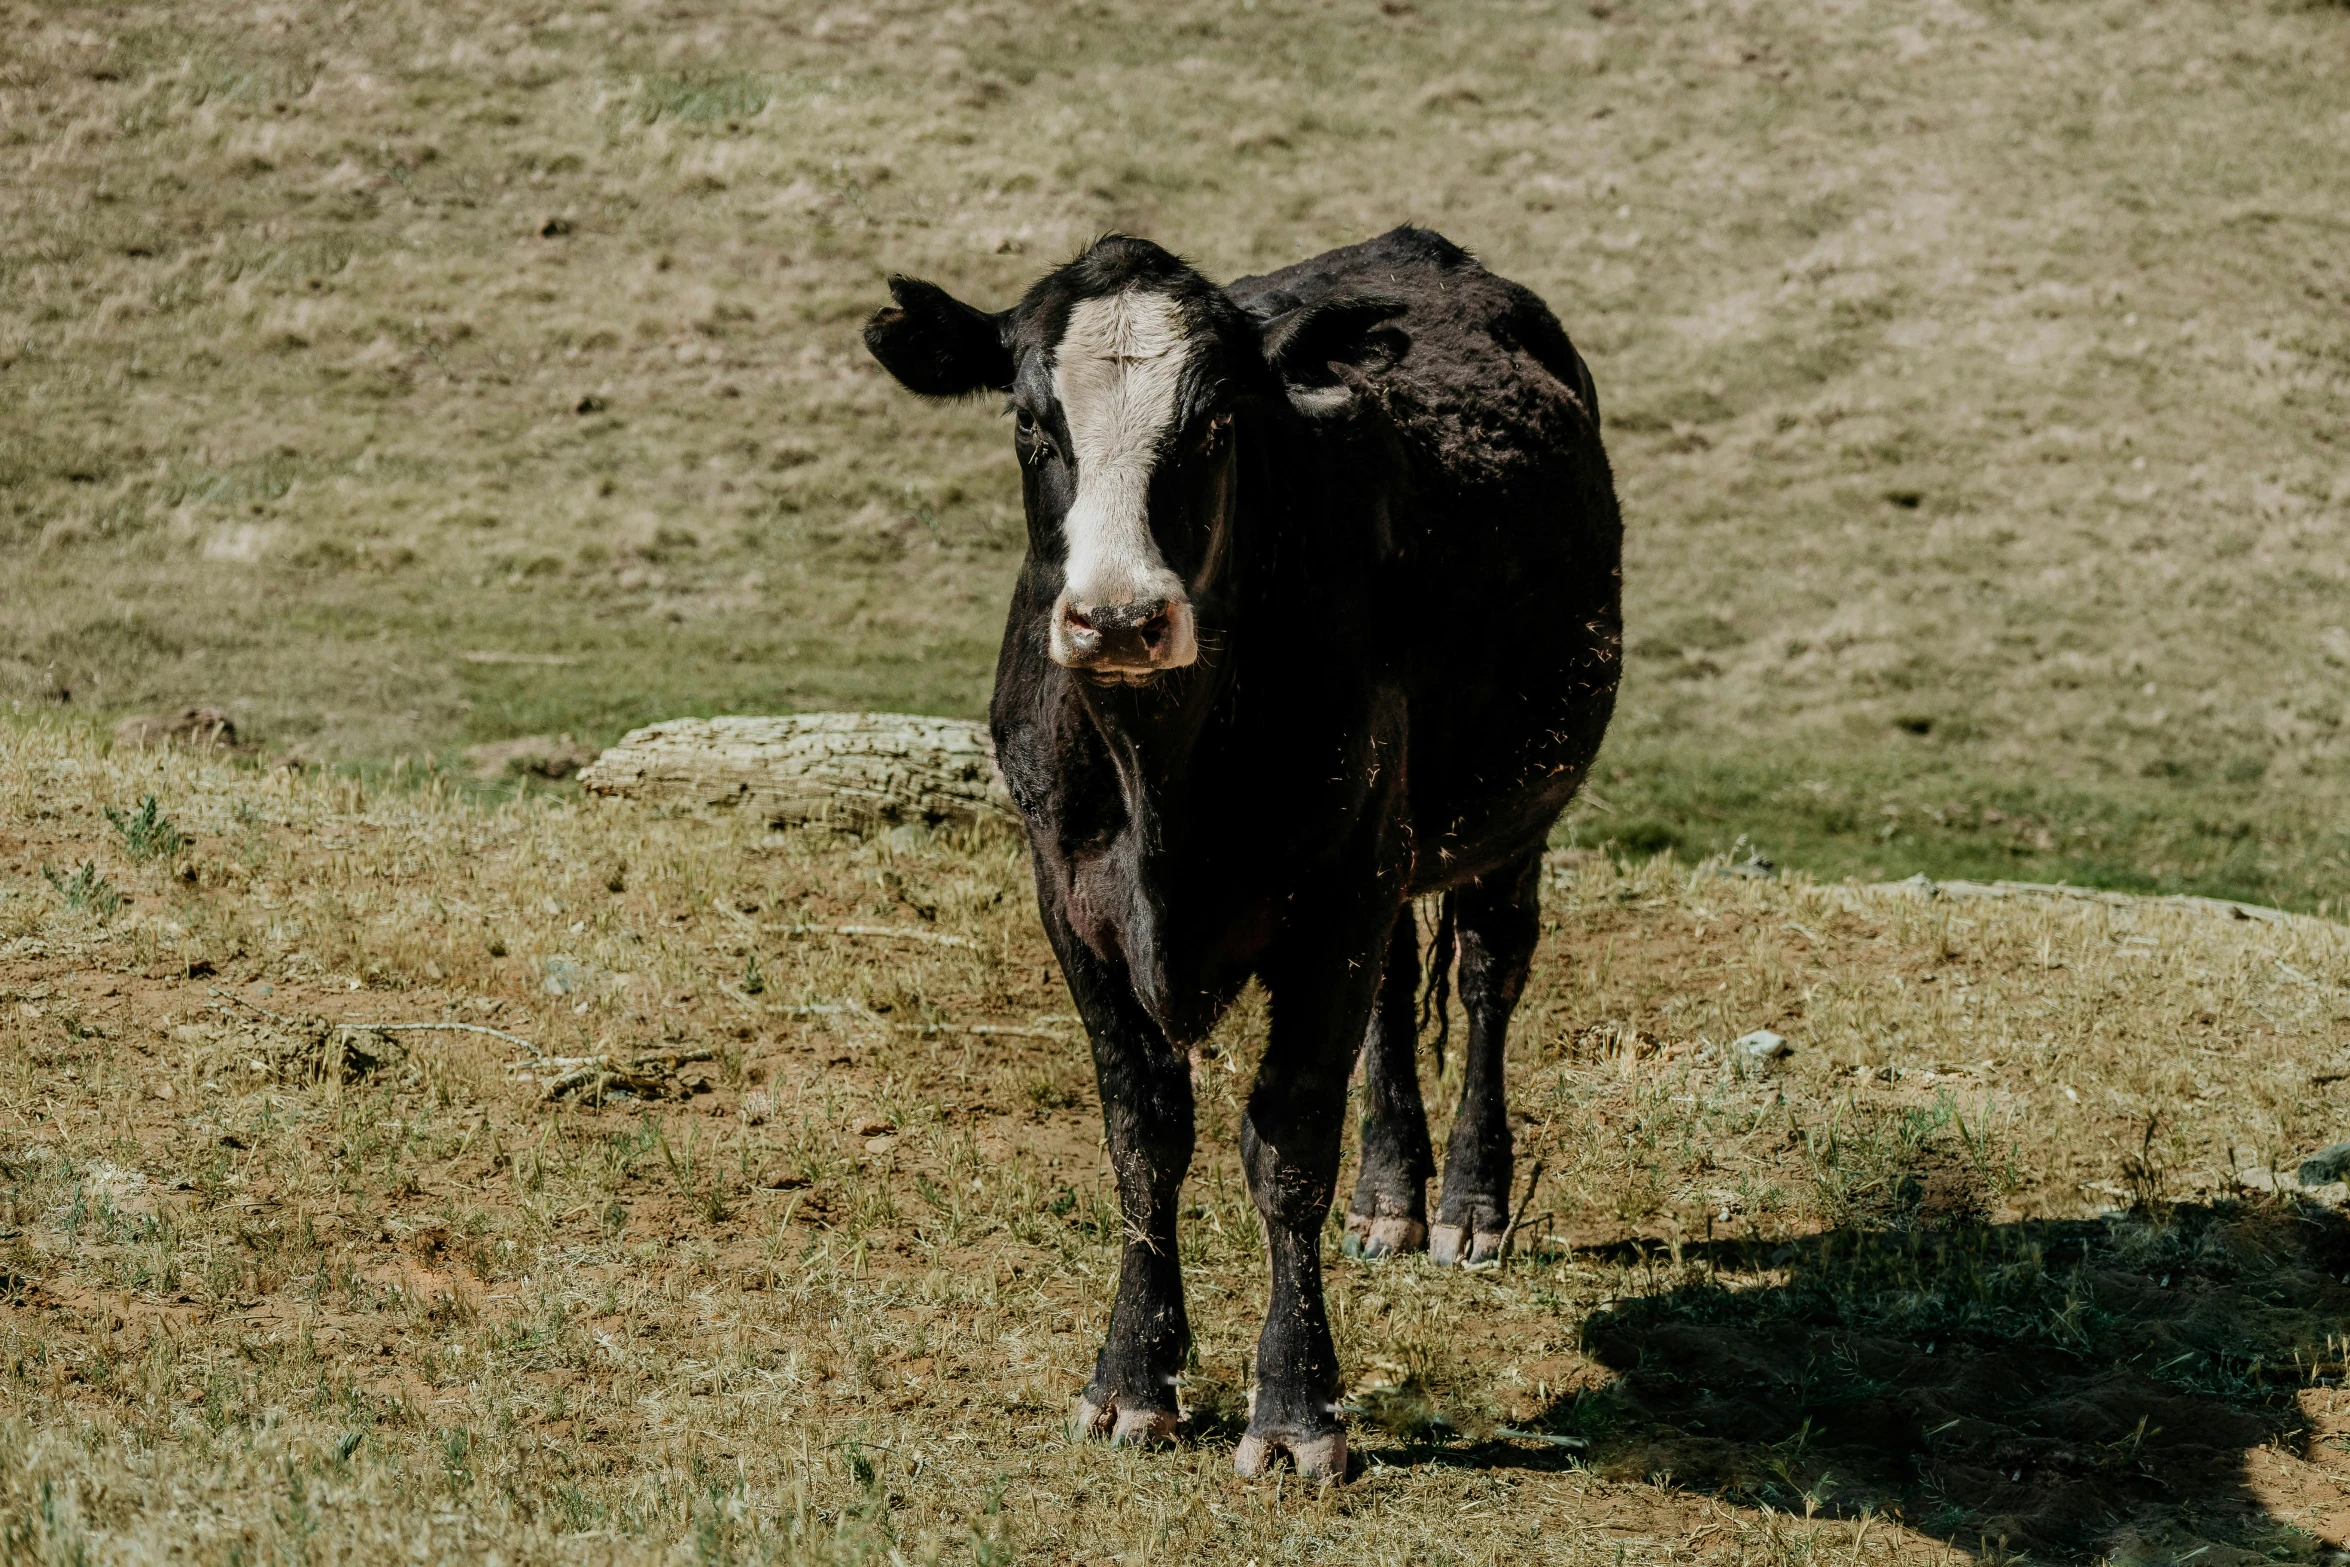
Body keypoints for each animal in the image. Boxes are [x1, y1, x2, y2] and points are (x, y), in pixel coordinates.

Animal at [864, 230, 1616, 1484]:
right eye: (1030, 423)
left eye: (1214, 424)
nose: (1118, 618)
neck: (1162, 784)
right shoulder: (1072, 905)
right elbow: (1143, 1137)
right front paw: (1132, 1382)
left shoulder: (1337, 897)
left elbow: (1287, 1145)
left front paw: (1299, 1408)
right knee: (1396, 1001)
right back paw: (1390, 1195)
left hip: (1511, 811)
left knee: (1485, 973)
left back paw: (1467, 1201)